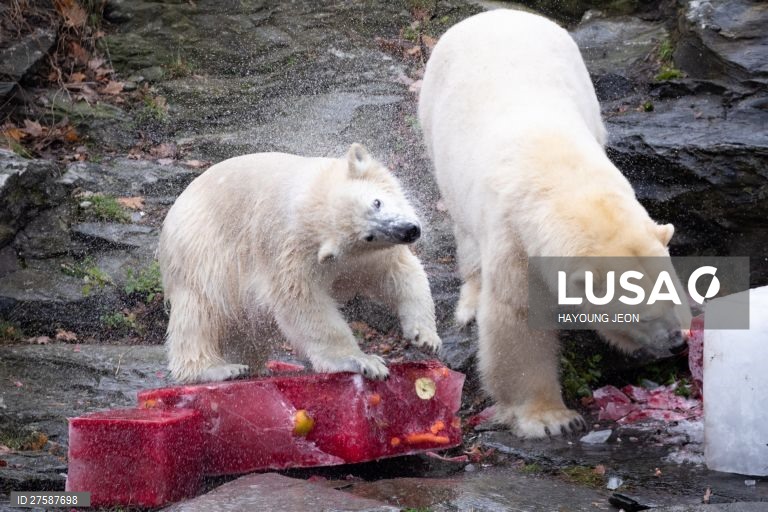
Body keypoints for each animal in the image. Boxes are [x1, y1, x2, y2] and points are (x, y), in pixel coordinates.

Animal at [158, 143, 441, 383]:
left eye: (377, 202)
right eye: (368, 235)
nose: (408, 231)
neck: (315, 197)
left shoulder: (368, 257)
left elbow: (398, 274)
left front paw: (425, 336)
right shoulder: (292, 251)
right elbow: (301, 302)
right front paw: (363, 361)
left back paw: (253, 365)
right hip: (203, 252)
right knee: (201, 311)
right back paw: (219, 369)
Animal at [418, 10, 691, 438]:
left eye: (674, 294)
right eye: (644, 315)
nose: (679, 342)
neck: (561, 175)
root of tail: (494, 13)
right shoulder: (514, 238)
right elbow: (518, 320)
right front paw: (551, 419)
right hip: (434, 122)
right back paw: (470, 301)